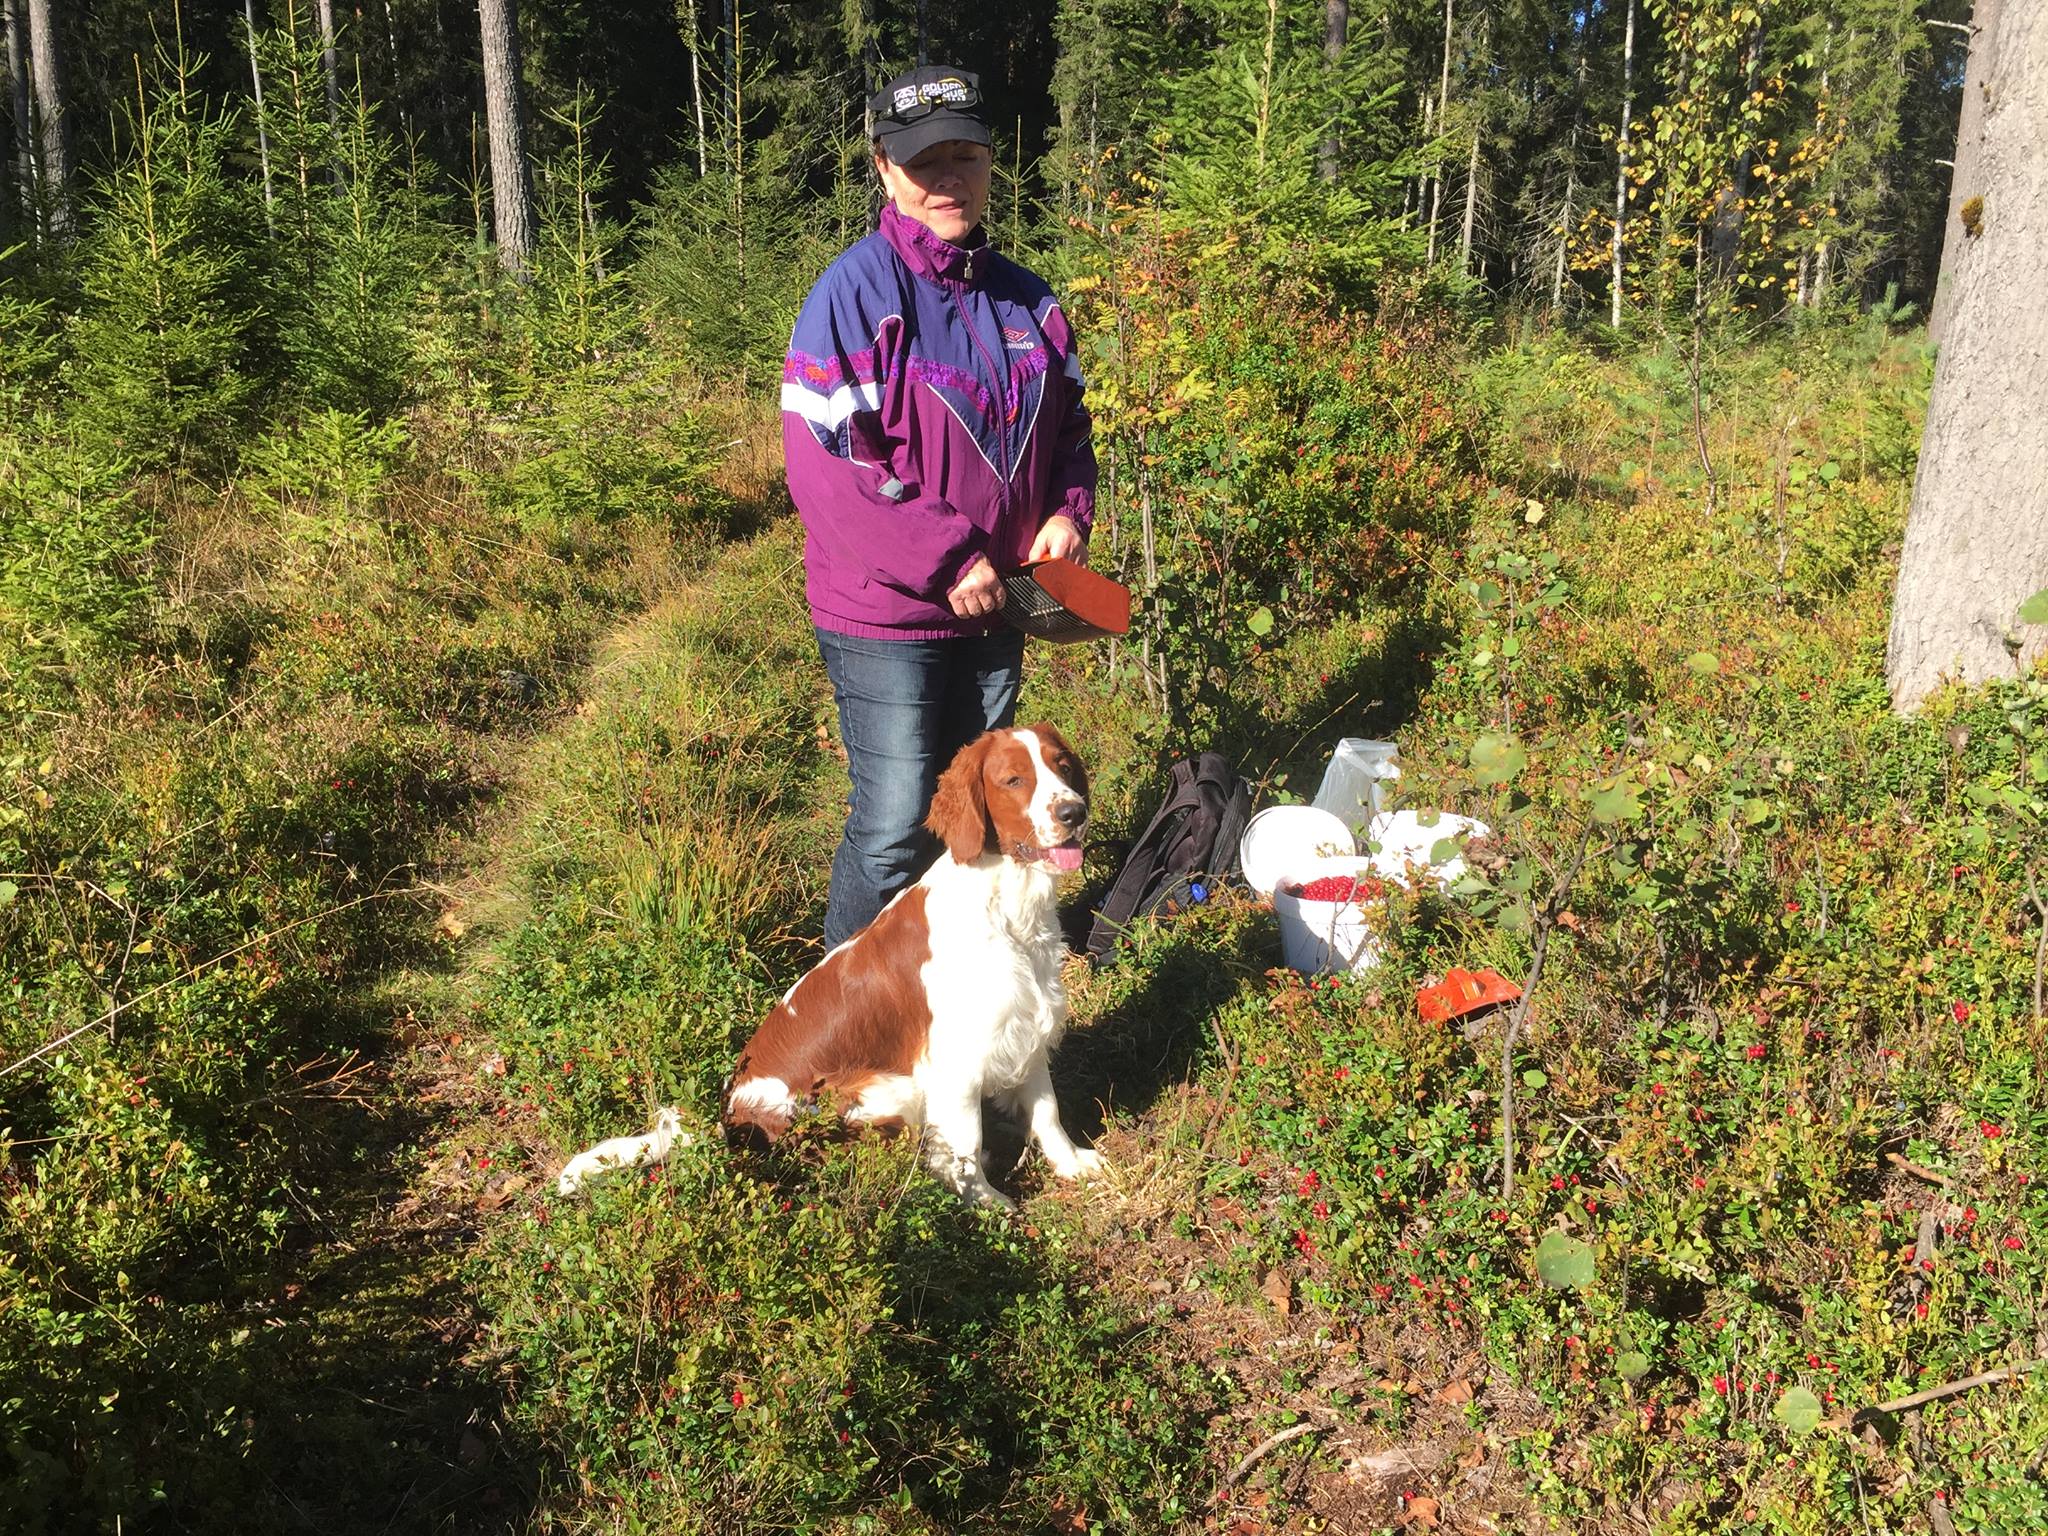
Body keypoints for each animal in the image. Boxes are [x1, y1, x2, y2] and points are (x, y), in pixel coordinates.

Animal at [721, 725, 1104, 1208]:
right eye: (1013, 780)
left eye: (1064, 766)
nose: (1074, 811)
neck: (1005, 905)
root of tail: (733, 1117)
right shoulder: (956, 1063)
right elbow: (966, 1143)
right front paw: (985, 1202)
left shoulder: (1026, 1026)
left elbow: (1047, 1109)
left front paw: (1071, 1163)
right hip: (886, 1088)